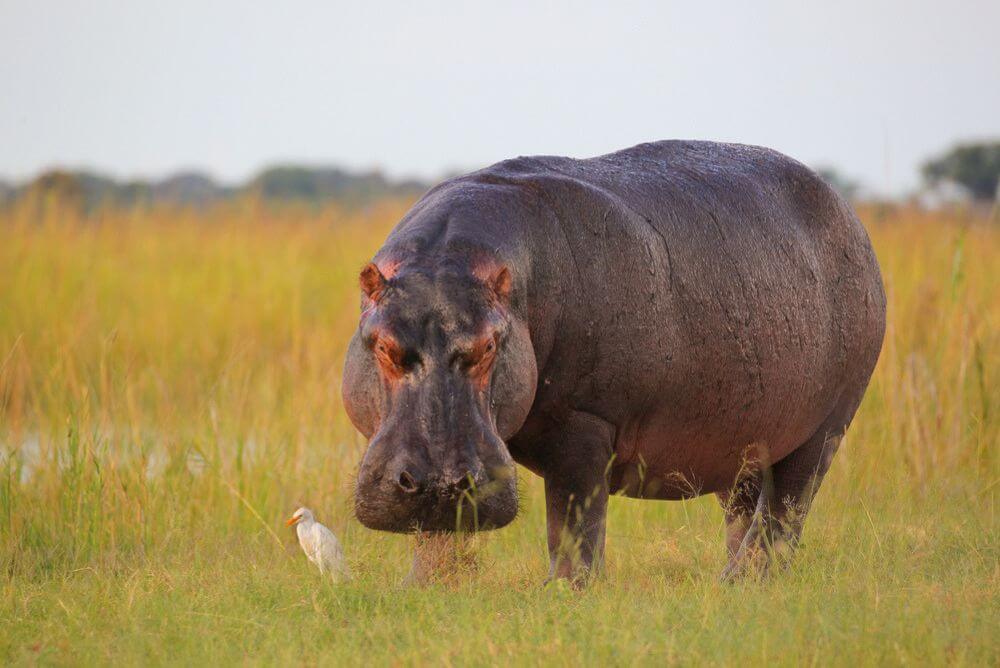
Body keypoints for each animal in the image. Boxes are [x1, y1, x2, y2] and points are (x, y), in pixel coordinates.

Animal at [343, 140, 886, 583]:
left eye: (489, 347)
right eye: (383, 345)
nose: (441, 481)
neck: (450, 260)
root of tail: (851, 217)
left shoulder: (583, 424)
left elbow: (573, 520)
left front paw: (567, 593)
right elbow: (435, 531)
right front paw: (422, 588)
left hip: (826, 428)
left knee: (784, 511)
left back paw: (742, 583)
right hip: (747, 436)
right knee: (745, 507)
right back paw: (730, 580)